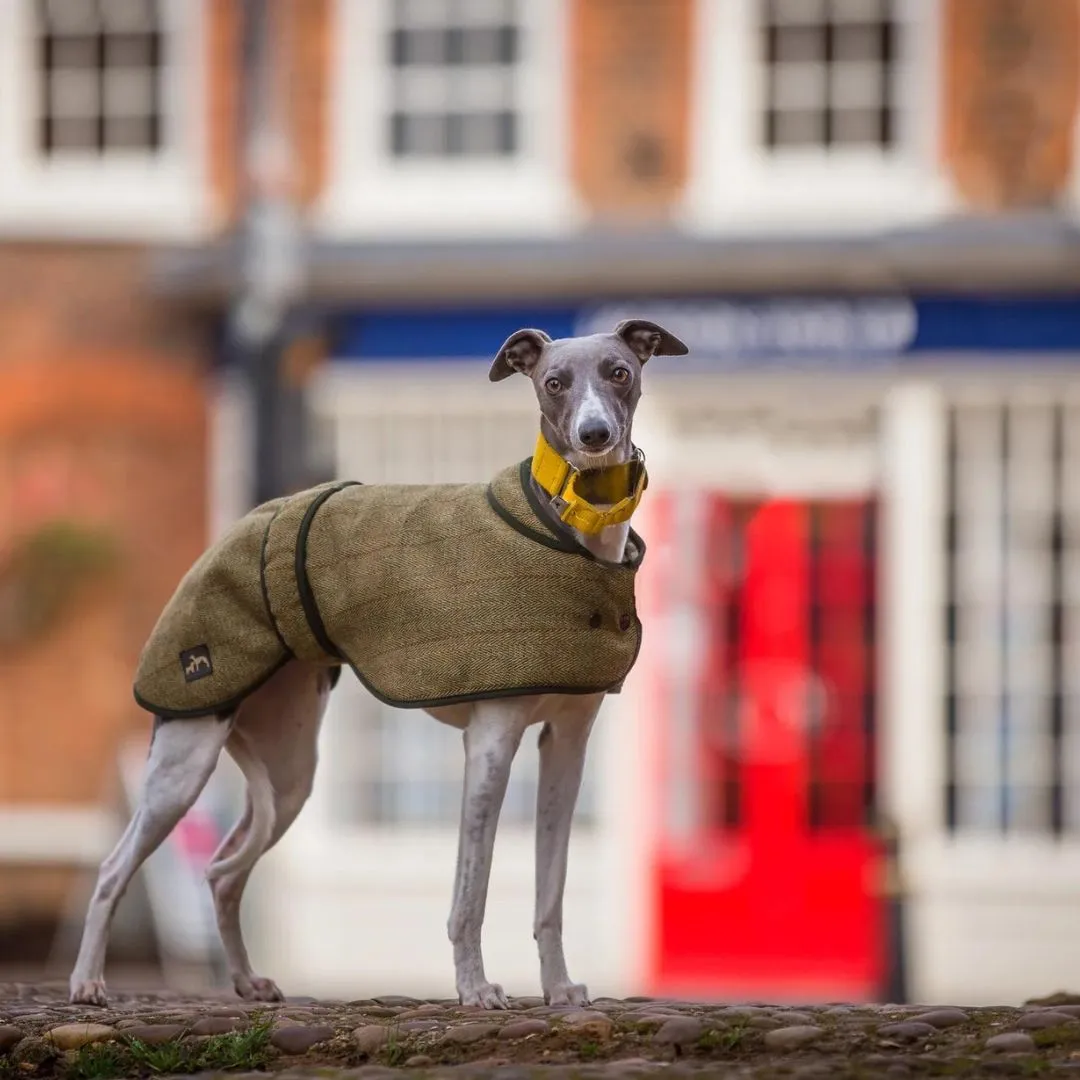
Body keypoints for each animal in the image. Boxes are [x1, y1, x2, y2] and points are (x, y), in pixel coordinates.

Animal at [67, 315, 686, 1006]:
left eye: (619, 372)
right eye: (553, 382)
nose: (594, 435)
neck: (570, 534)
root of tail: (247, 522)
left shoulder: (567, 744)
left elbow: (549, 891)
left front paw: (558, 988)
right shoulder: (491, 744)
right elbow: (470, 893)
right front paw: (475, 989)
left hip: (288, 772)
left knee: (224, 871)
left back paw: (247, 980)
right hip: (185, 754)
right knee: (114, 867)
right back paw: (88, 981)